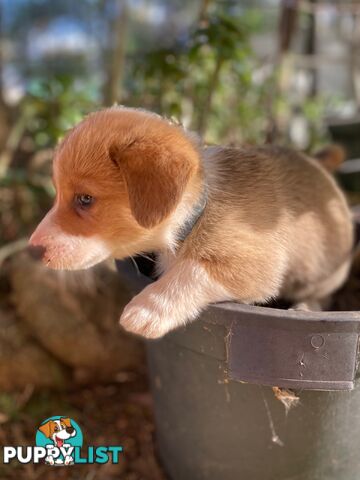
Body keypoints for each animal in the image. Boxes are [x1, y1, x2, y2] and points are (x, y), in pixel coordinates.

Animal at [28, 108, 354, 338]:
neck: (198, 210)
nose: (32, 251)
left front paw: (147, 310)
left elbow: (190, 271)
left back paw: (305, 308)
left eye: (85, 199)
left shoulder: (256, 265)